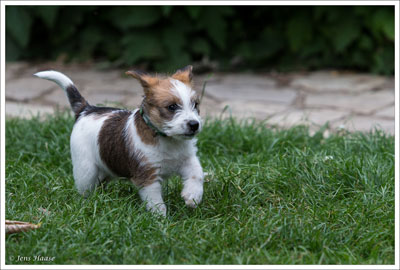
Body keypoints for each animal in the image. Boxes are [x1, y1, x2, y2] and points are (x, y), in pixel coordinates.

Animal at [34, 66, 203, 216]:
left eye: (195, 105)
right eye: (172, 107)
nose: (194, 124)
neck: (168, 139)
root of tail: (86, 109)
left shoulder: (187, 159)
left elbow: (197, 173)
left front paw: (193, 196)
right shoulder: (147, 176)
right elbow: (155, 201)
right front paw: (160, 219)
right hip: (86, 170)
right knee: (86, 188)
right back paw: (87, 203)